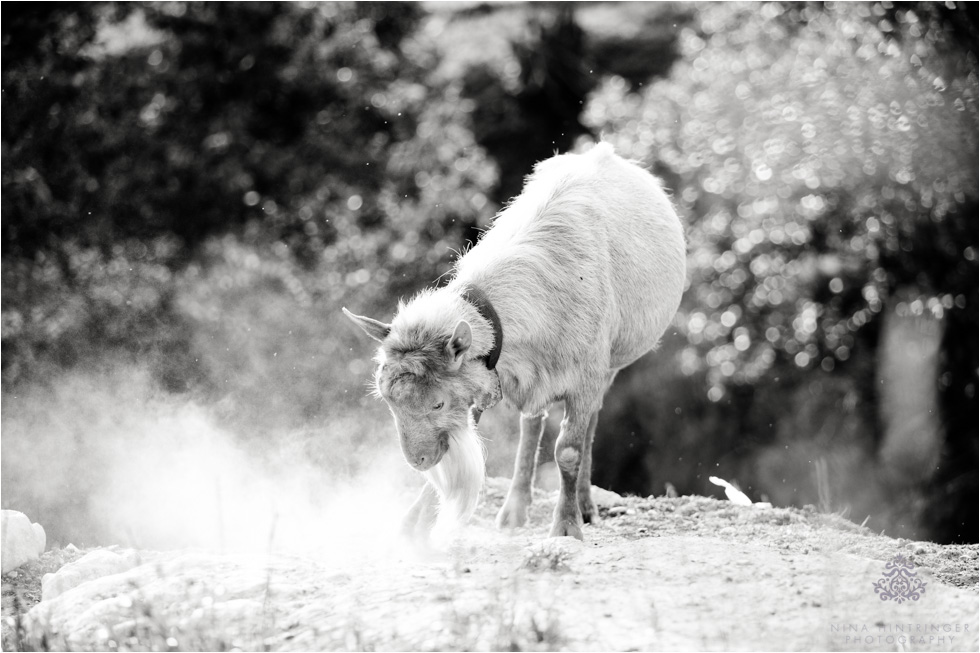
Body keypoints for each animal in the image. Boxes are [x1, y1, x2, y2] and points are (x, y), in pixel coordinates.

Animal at [344, 140, 688, 536]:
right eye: (389, 403)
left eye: (438, 404)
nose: (418, 460)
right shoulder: (489, 377)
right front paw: (415, 521)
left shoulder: (586, 375)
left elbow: (568, 451)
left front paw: (566, 525)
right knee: (532, 424)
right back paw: (515, 509)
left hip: (610, 364)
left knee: (588, 426)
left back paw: (585, 505)